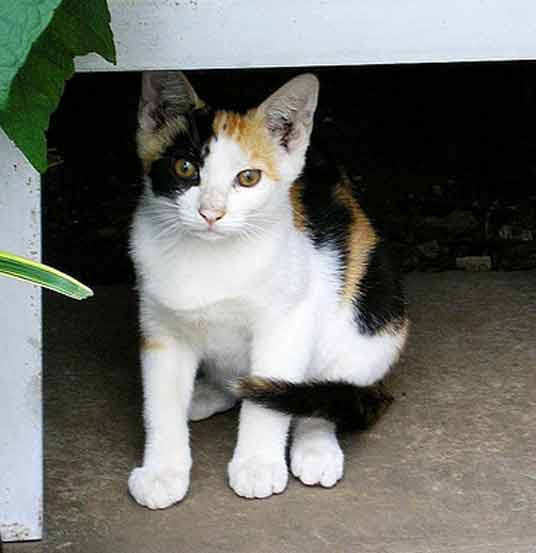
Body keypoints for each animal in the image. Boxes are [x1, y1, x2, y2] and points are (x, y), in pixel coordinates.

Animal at [127, 71, 408, 506]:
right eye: (185, 167)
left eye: (248, 178)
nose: (211, 213)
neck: (211, 258)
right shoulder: (160, 327)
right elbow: (160, 403)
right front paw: (163, 471)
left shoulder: (287, 322)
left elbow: (270, 402)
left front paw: (257, 465)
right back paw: (209, 393)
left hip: (373, 320)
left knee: (321, 395)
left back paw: (315, 447)